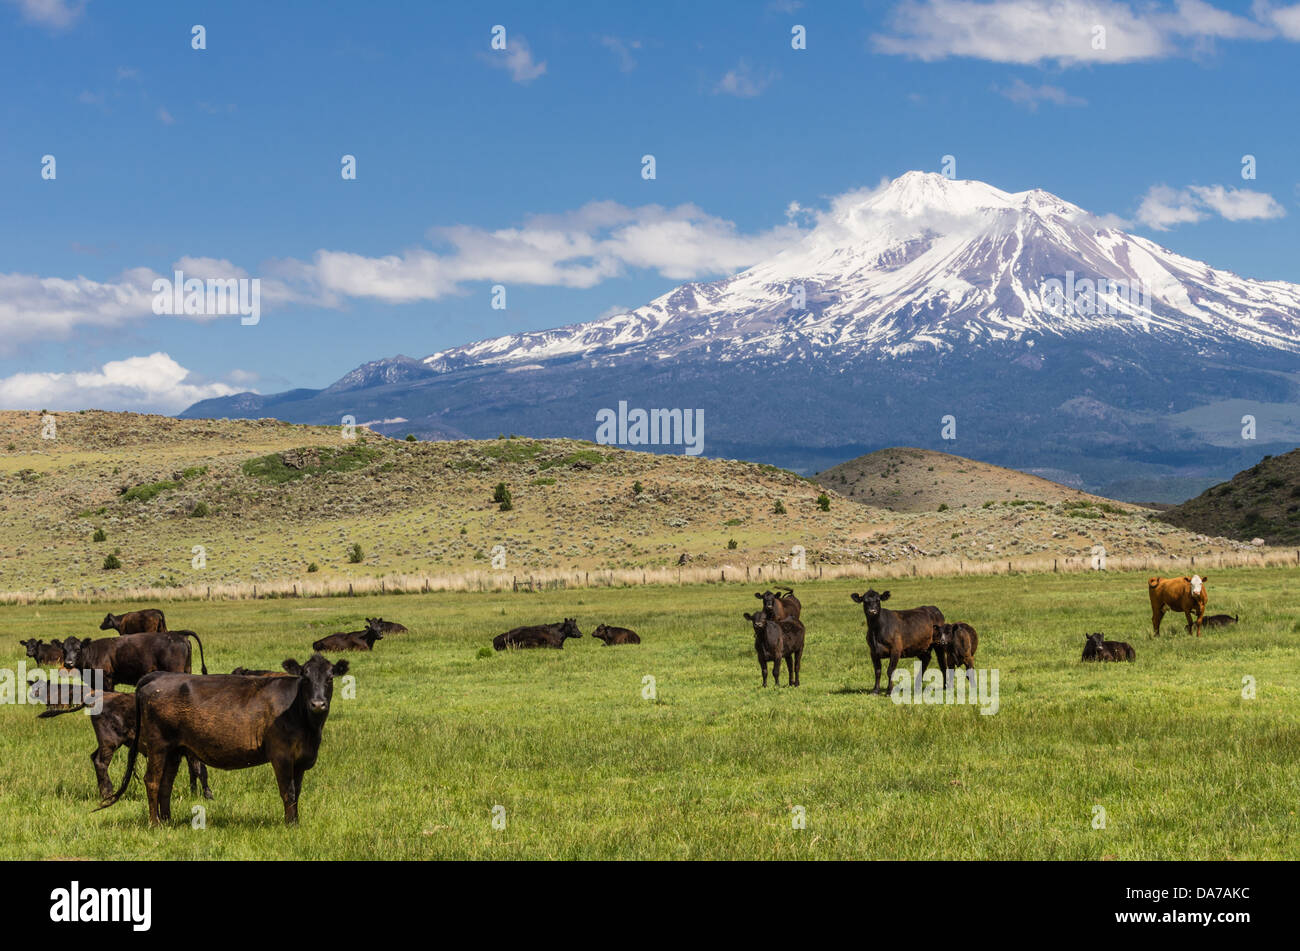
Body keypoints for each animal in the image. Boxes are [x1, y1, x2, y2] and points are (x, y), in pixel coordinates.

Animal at [100, 654, 348, 826]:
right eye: (305, 677)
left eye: (330, 678)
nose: (318, 703)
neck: (308, 726)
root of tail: (159, 676)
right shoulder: (282, 756)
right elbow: (288, 791)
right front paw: (290, 826)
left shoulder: (301, 759)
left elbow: (297, 792)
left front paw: (295, 822)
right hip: (157, 745)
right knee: (152, 780)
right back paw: (155, 824)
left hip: (174, 749)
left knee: (165, 784)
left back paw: (168, 820)